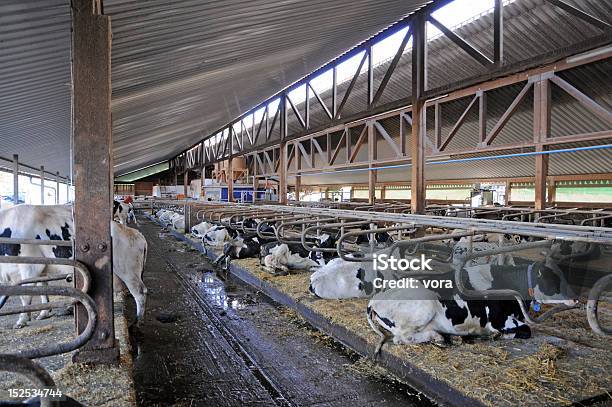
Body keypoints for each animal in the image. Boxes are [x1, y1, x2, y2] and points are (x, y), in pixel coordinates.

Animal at [0, 206, 148, 330]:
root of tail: (137, 234)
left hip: (127, 270)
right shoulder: (40, 268)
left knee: (140, 292)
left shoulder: (30, 265)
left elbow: (25, 294)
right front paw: (44, 312)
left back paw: (137, 322)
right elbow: (42, 288)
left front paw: (22, 320)